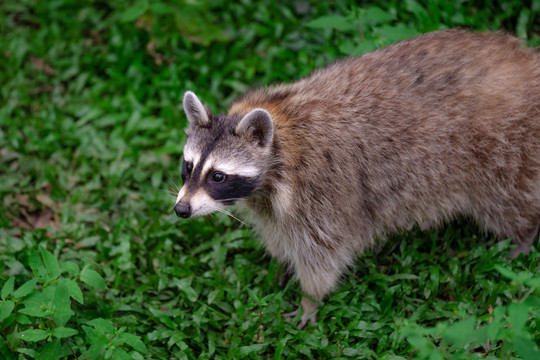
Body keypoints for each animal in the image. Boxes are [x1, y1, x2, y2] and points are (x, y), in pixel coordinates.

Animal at [176, 30, 540, 330]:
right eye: (188, 166)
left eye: (218, 176)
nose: (181, 210)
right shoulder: (269, 198)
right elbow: (279, 231)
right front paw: (281, 262)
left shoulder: (321, 192)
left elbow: (323, 253)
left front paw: (310, 299)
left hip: (504, 148)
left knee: (507, 200)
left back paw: (521, 237)